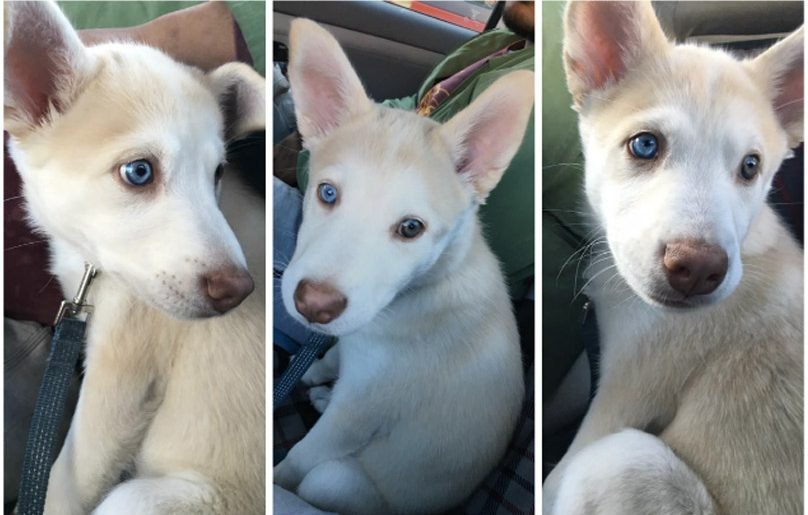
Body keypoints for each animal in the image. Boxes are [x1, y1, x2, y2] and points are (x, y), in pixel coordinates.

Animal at [4, 2, 266, 512]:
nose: (238, 292)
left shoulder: (120, 373)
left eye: (217, 173)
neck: (95, 268)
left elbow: (62, 486)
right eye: (139, 171)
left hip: (138, 498)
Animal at [274, 18, 532, 512]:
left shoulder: (357, 414)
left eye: (411, 228)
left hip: (335, 480)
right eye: (327, 193)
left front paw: (275, 479)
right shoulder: (353, 347)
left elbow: (300, 457)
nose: (313, 305)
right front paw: (315, 371)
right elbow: (334, 355)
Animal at [544, 1, 800, 515]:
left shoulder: (630, 391)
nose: (698, 269)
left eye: (750, 166)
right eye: (645, 144)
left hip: (622, 461)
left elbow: (548, 483)